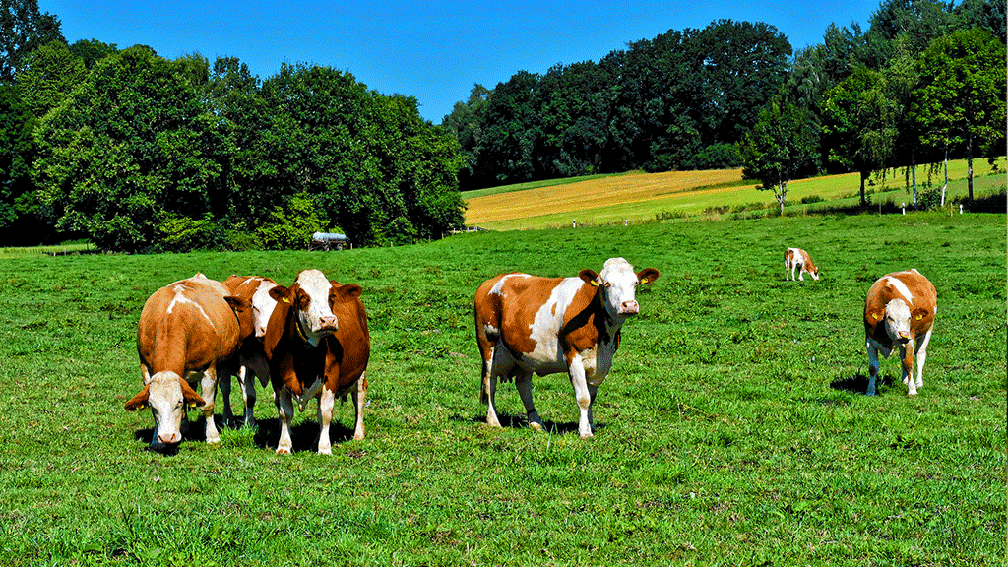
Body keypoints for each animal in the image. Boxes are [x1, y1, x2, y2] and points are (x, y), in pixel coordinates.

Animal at [123, 272, 254, 447]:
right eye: (152, 405)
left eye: (178, 402)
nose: (167, 437)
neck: (173, 319)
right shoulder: (145, 368)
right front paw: (156, 440)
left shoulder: (208, 369)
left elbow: (207, 405)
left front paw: (213, 437)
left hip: (227, 361)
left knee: (225, 389)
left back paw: (228, 419)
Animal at [220, 272, 280, 423]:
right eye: (254, 307)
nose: (266, 330)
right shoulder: (242, 365)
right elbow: (250, 397)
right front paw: (250, 424)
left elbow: (278, 399)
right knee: (225, 389)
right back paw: (227, 418)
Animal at [260, 268, 370, 454]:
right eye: (303, 297)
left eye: (332, 296)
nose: (328, 320)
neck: (303, 357)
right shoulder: (277, 378)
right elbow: (285, 412)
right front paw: (284, 445)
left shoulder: (331, 376)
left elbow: (325, 413)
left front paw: (324, 448)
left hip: (361, 371)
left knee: (359, 399)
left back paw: (358, 434)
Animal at [473, 256, 661, 437]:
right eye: (607, 284)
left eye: (635, 283)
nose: (629, 305)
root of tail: (490, 282)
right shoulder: (573, 355)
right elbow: (583, 397)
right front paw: (584, 432)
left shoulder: (603, 362)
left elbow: (592, 397)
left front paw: (590, 425)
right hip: (488, 346)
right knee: (490, 383)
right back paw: (493, 421)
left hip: (524, 353)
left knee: (523, 385)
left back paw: (536, 422)